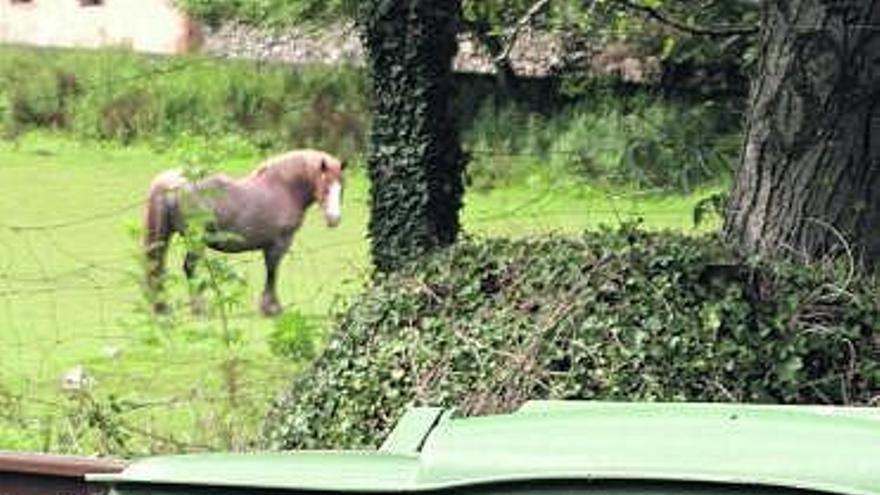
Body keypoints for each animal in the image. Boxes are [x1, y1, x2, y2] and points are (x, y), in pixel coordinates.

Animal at [144, 149, 344, 316]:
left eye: (342, 188)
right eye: (325, 187)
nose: (334, 219)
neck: (283, 188)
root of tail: (171, 183)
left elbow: (271, 271)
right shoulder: (279, 243)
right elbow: (272, 272)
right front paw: (272, 308)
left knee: (158, 267)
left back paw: (163, 307)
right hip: (196, 240)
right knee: (189, 267)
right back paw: (199, 308)